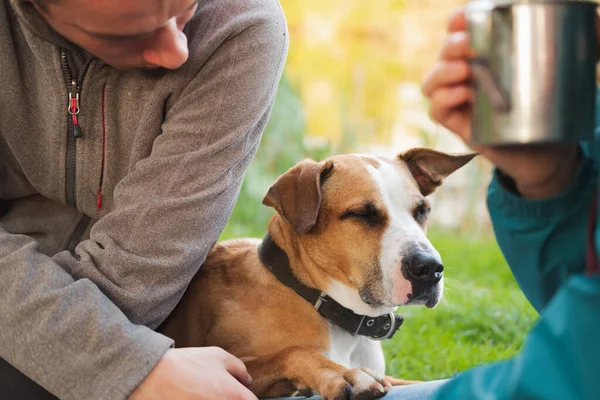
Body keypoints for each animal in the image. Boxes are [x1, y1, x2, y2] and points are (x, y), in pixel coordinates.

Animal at [157, 148, 476, 398]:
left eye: (422, 210)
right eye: (362, 214)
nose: (430, 268)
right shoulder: (229, 365)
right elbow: (293, 351)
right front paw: (342, 374)